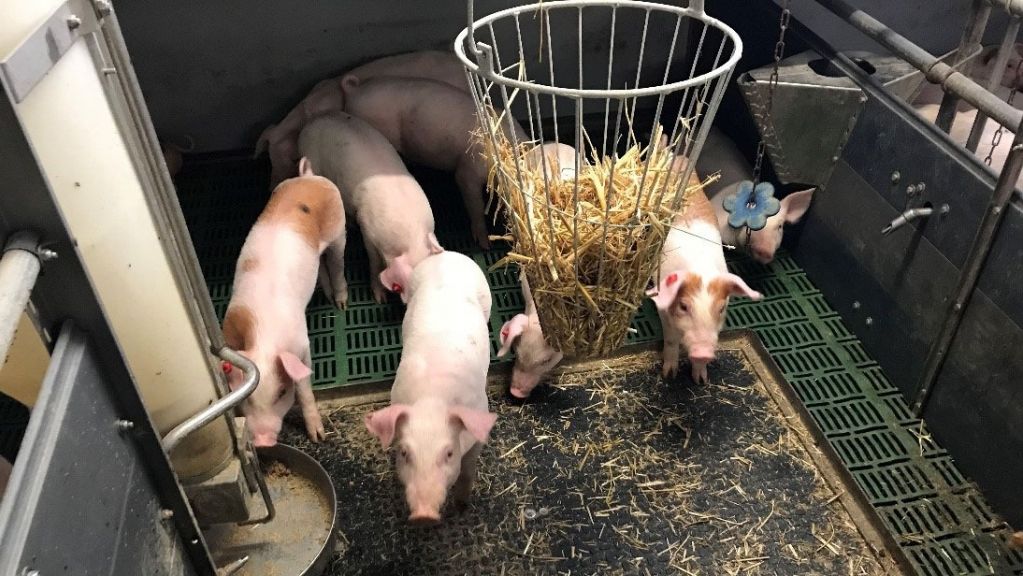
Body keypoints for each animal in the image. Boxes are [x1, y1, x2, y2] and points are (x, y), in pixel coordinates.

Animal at [222, 158, 346, 447]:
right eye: (246, 399)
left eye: (281, 393)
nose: (261, 441)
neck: (263, 335)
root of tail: (308, 177)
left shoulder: (302, 344)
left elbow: (305, 388)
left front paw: (317, 437)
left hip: (339, 229)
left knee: (337, 263)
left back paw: (341, 303)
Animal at [364, 252, 497, 525]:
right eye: (404, 453)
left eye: (448, 453)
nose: (423, 515)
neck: (432, 398)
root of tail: (445, 254)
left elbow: (468, 471)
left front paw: (462, 507)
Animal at [648, 186, 763, 384]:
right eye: (683, 306)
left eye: (721, 308)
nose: (703, 352)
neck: (699, 268)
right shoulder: (662, 308)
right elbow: (671, 340)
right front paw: (669, 375)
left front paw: (701, 381)